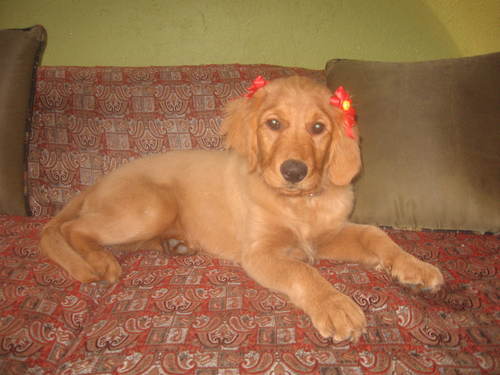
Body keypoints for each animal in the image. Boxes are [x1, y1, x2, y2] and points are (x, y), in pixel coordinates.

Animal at [41, 77, 444, 344]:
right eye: (273, 124)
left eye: (318, 128)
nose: (294, 171)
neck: (298, 204)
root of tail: (95, 184)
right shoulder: (260, 252)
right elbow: (303, 271)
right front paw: (334, 305)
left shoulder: (328, 235)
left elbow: (375, 234)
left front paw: (415, 267)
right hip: (150, 207)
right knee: (72, 229)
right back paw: (101, 263)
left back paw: (174, 245)